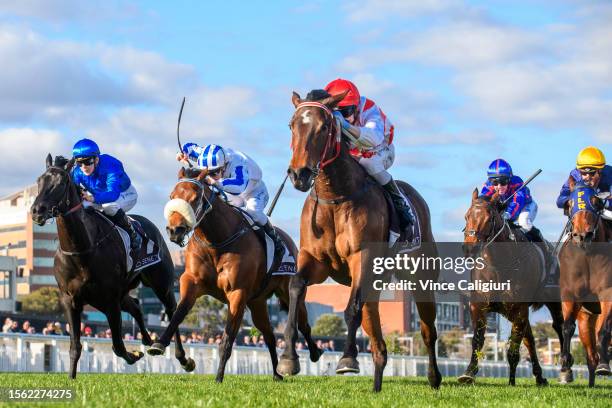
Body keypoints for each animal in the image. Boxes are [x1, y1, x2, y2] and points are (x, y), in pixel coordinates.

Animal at [28, 155, 191, 378]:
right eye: (39, 180)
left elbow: (118, 346)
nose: (37, 211)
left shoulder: (110, 300)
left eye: (61, 183)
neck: (82, 250)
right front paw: (71, 378)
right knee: (136, 306)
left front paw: (134, 355)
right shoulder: (71, 300)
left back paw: (181, 357)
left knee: (172, 310)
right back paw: (147, 339)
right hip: (118, 294)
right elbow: (75, 347)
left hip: (161, 284)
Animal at [148, 167, 322, 382]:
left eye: (195, 198)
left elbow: (227, 339)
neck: (217, 241)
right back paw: (276, 373)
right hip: (257, 303)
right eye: (172, 196)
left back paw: (312, 353)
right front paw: (161, 345)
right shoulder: (192, 281)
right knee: (269, 335)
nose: (174, 230)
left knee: (303, 323)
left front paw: (218, 378)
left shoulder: (237, 293)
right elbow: (179, 312)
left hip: (287, 292)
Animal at [280, 90, 442, 392]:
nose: (299, 174)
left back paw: (434, 377)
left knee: (428, 330)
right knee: (378, 342)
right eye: (292, 125)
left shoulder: (362, 258)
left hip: (420, 279)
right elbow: (296, 287)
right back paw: (377, 384)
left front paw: (347, 359)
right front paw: (288, 358)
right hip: (375, 287)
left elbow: (351, 309)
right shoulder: (315, 261)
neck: (335, 197)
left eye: (325, 127)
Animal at [460, 189, 564, 386]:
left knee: (561, 327)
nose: (469, 248)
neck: (499, 265)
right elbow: (477, 340)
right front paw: (468, 373)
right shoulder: (478, 306)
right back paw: (539, 376)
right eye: (466, 216)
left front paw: (511, 382)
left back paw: (565, 368)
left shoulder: (519, 308)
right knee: (530, 339)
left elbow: (514, 349)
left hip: (552, 302)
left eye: (489, 218)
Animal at [560, 178, 612, 386]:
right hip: (587, 318)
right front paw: (565, 361)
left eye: (596, 202)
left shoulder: (608, 292)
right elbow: (567, 326)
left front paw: (605, 366)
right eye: (569, 203)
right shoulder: (571, 294)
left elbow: (604, 331)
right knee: (591, 356)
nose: (582, 236)